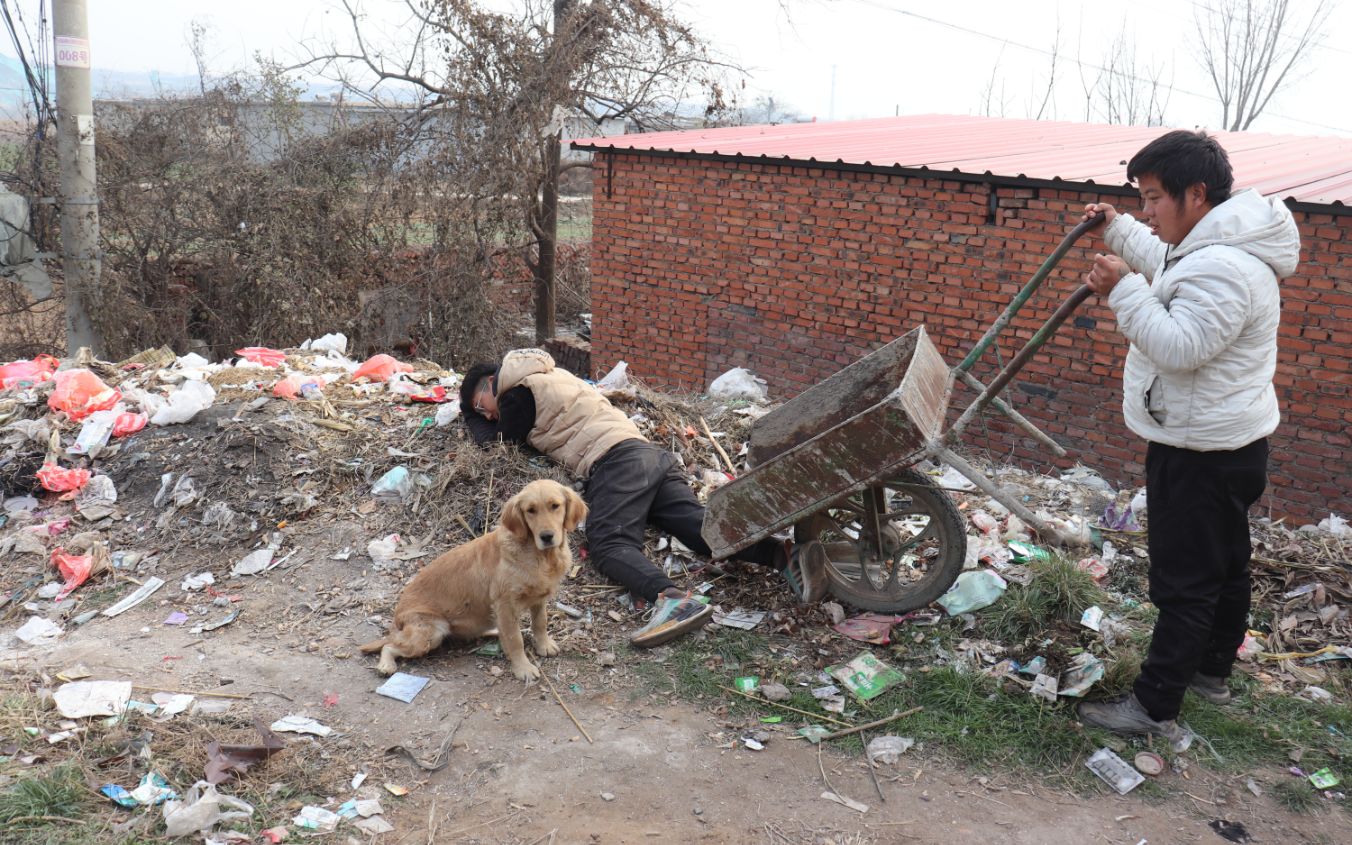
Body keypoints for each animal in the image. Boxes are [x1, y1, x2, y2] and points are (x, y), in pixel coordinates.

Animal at [359, 478, 586, 681]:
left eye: (555, 506)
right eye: (531, 510)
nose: (547, 536)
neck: (539, 555)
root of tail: (396, 619)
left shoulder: (539, 598)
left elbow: (540, 623)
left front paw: (544, 645)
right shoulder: (505, 604)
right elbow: (515, 640)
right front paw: (523, 668)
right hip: (431, 632)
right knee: (389, 646)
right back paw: (386, 665)